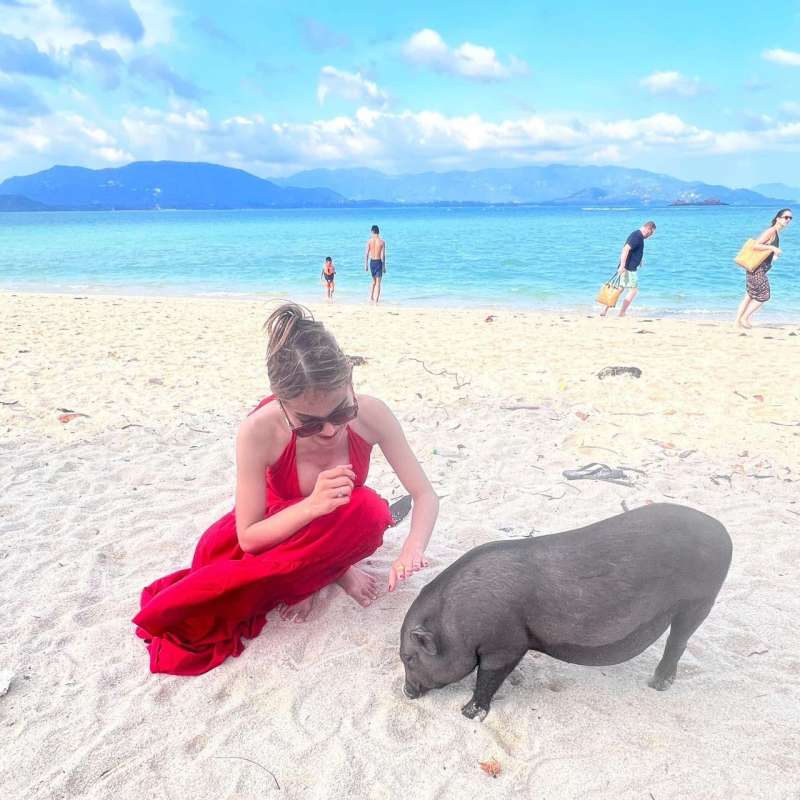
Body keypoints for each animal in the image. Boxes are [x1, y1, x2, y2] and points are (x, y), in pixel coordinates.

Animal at [400, 503, 731, 720]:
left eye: (408, 657)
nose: (405, 692)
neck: (455, 623)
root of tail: (724, 533)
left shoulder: (505, 644)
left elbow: (488, 679)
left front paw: (468, 713)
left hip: (699, 600)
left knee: (679, 641)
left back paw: (658, 684)